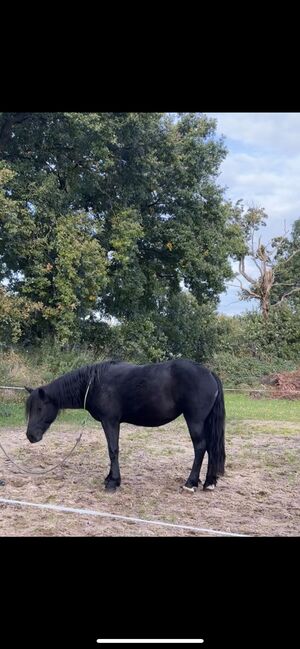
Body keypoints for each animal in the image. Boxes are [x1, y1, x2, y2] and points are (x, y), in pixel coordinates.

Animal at [25, 360, 225, 492]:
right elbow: (112, 449)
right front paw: (109, 478)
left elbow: (113, 449)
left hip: (195, 421)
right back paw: (209, 482)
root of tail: (209, 374)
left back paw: (190, 483)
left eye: (40, 408)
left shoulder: (110, 421)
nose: (30, 436)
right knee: (211, 448)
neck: (94, 383)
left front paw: (113, 482)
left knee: (200, 447)